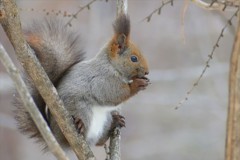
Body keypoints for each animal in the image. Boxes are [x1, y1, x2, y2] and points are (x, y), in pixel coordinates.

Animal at [14, 14, 149, 150]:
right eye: (133, 58)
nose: (147, 72)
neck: (111, 65)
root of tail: (55, 136)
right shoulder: (101, 80)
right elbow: (112, 94)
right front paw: (136, 85)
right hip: (82, 110)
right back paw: (80, 126)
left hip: (105, 118)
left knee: (98, 142)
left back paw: (114, 124)